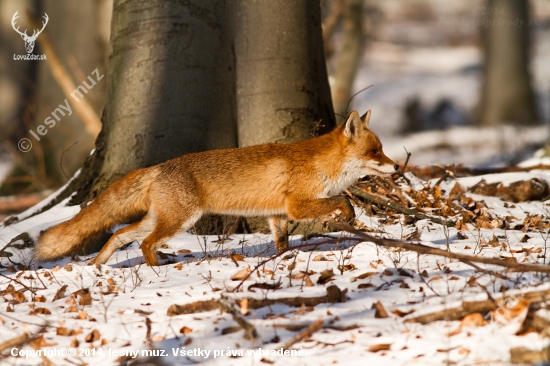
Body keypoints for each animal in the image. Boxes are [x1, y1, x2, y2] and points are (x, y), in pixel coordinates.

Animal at [33, 109, 396, 266]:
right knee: (145, 244)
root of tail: (158, 167)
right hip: (181, 220)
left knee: (120, 235)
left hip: (161, 218)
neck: (322, 164)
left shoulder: (278, 214)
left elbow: (281, 242)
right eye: (375, 152)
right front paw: (349, 214)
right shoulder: (297, 205)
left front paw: (283, 260)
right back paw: (157, 270)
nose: (396, 167)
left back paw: (97, 267)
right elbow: (340, 200)